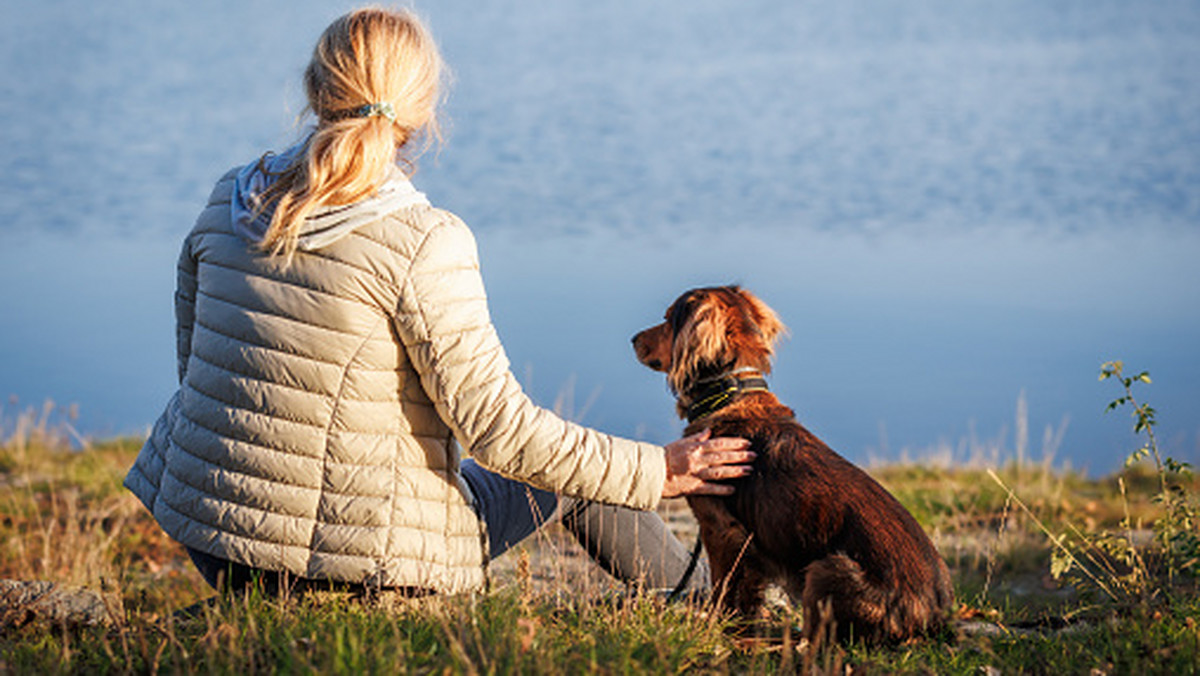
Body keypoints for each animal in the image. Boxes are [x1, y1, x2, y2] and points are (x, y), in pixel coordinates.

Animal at [633, 286, 950, 643]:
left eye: (667, 319)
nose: (633, 339)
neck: (731, 394)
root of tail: (932, 615)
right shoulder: (749, 548)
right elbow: (746, 596)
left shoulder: (719, 529)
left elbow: (723, 589)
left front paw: (715, 626)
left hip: (827, 568)